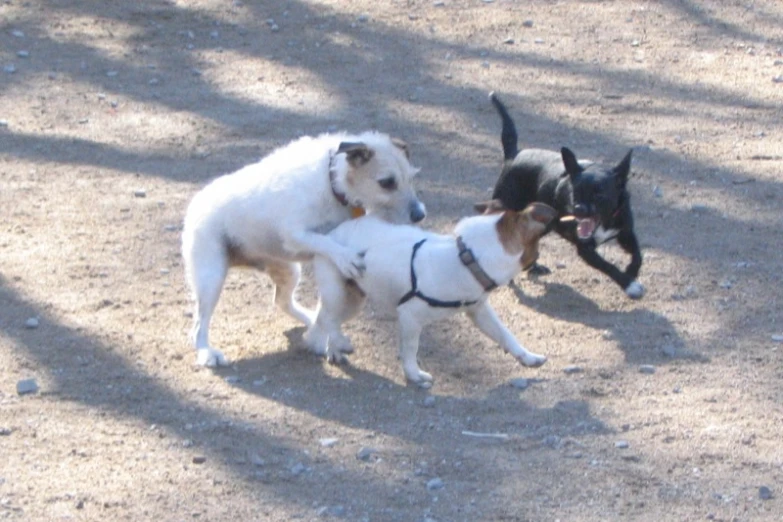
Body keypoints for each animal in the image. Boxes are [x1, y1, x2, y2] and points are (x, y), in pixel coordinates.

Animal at [181, 130, 426, 366]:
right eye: (387, 182)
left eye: (411, 178)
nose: (420, 214)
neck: (332, 182)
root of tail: (196, 202)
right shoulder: (295, 234)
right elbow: (326, 241)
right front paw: (346, 257)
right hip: (211, 278)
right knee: (198, 327)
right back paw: (207, 353)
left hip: (288, 271)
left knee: (283, 302)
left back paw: (312, 321)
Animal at [304, 199, 556, 386]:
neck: (466, 257)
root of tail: (333, 233)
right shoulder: (410, 317)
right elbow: (410, 349)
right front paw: (414, 375)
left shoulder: (479, 312)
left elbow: (506, 335)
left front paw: (528, 357)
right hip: (337, 294)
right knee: (329, 320)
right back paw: (339, 344)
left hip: (353, 300)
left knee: (328, 319)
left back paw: (333, 349)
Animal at [486, 91, 648, 298]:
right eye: (575, 193)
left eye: (600, 195)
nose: (578, 209)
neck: (605, 222)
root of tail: (513, 155)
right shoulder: (586, 249)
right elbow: (608, 266)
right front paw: (629, 284)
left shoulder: (626, 233)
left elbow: (638, 255)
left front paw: (631, 272)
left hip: (542, 223)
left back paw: (533, 266)